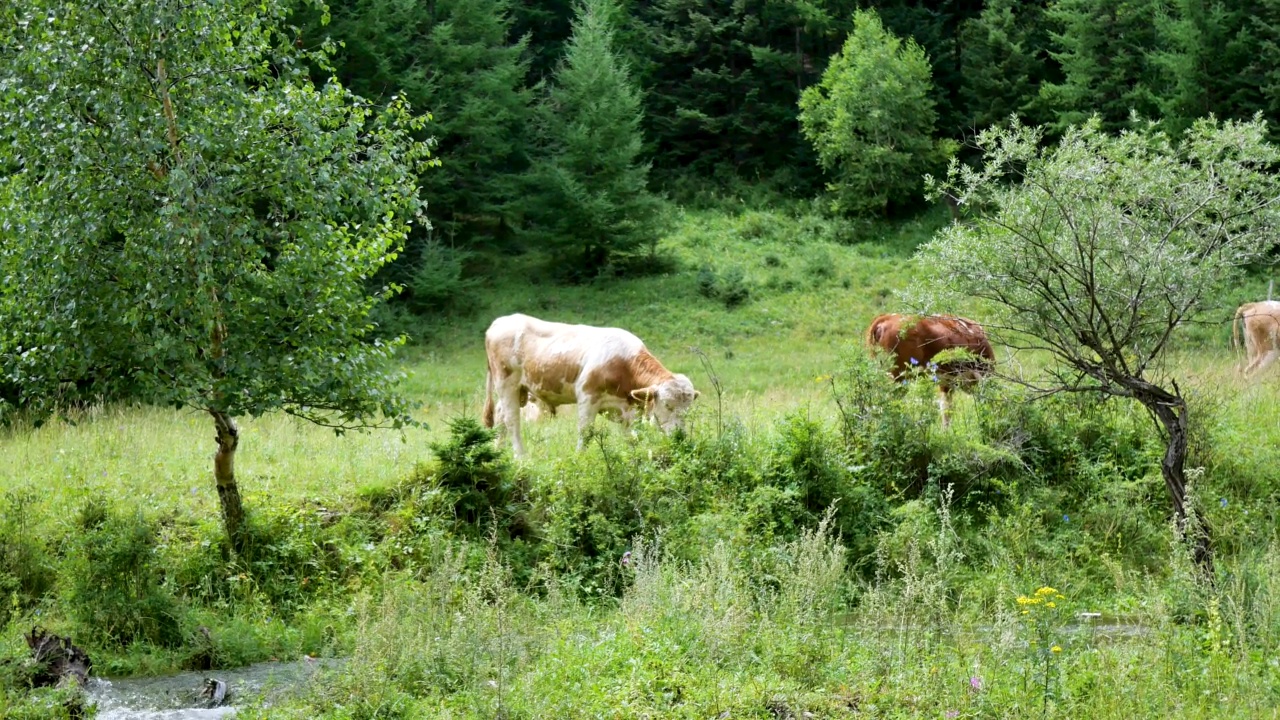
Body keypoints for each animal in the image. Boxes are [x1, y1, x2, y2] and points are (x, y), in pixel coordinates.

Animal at [481, 312, 701, 456]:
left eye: (688, 409)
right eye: (668, 405)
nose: (680, 436)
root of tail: (501, 321)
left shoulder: (628, 409)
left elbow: (632, 437)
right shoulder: (588, 396)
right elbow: (585, 433)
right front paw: (580, 458)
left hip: (521, 390)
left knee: (501, 416)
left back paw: (498, 451)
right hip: (506, 383)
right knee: (512, 421)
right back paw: (521, 457)